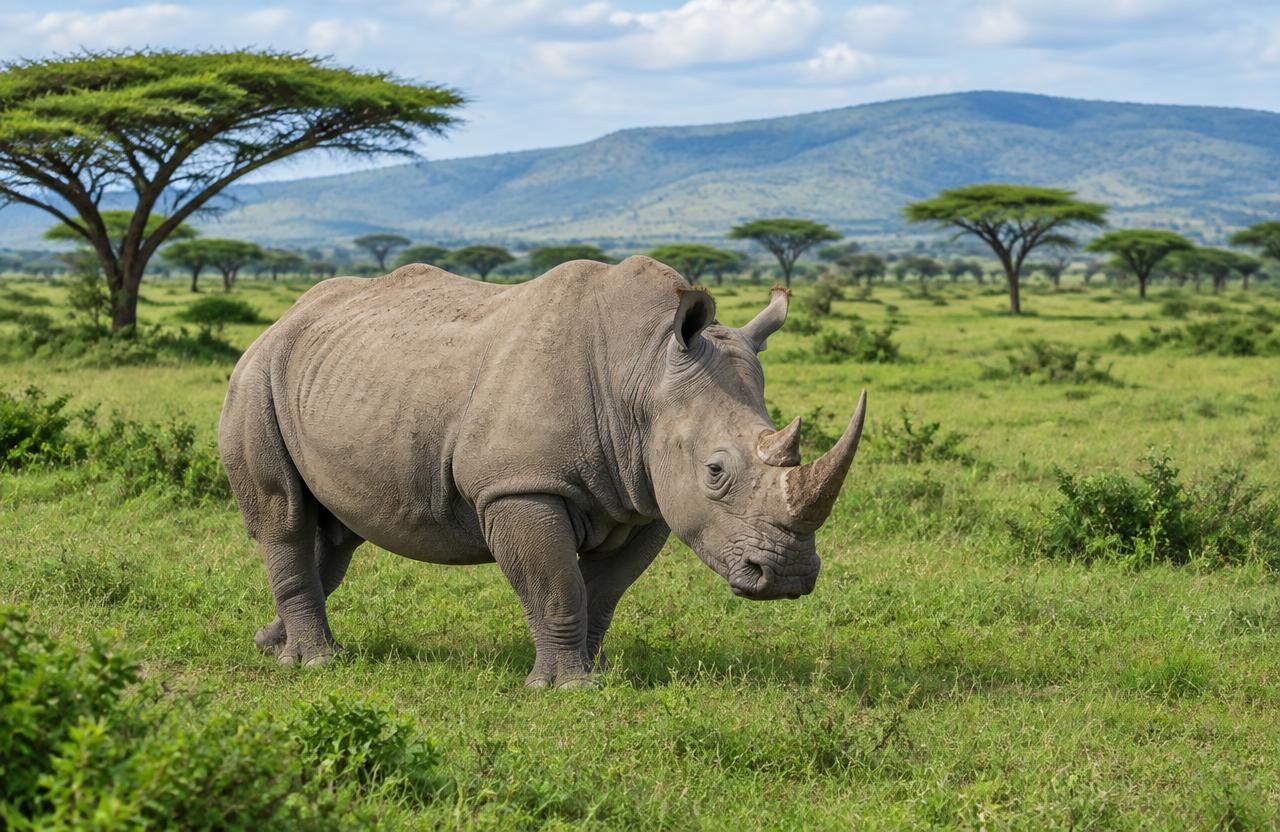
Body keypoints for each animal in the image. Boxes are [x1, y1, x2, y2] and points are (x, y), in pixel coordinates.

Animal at [219, 256, 866, 687]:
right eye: (715, 471)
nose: (788, 578)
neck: (643, 371)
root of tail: (284, 319)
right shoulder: (519, 487)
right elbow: (556, 583)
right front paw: (565, 688)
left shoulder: (647, 499)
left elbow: (603, 591)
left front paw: (598, 674)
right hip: (255, 378)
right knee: (285, 517)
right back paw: (316, 662)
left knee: (336, 535)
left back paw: (272, 645)